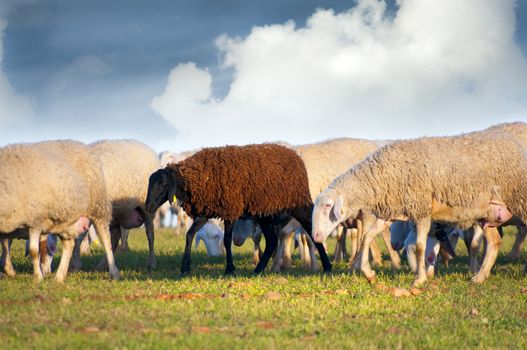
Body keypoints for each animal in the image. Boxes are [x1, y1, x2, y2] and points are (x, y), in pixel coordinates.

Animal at [0, 139, 119, 282]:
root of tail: (81, 145)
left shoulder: (35, 220)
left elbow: (34, 251)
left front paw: (38, 277)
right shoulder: (8, 225)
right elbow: (5, 246)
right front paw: (9, 270)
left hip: (97, 208)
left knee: (106, 239)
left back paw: (114, 273)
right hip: (66, 220)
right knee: (69, 244)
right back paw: (59, 277)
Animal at [146, 144, 332, 274]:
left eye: (162, 184)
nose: (148, 206)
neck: (197, 177)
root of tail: (295, 156)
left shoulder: (230, 209)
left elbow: (227, 240)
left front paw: (229, 269)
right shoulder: (206, 212)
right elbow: (190, 235)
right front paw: (185, 267)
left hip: (299, 205)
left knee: (311, 231)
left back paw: (327, 266)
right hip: (265, 213)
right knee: (272, 240)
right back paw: (258, 270)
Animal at [314, 132, 527, 288]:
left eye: (327, 206)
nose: (316, 236)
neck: (381, 176)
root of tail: (514, 143)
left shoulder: (422, 210)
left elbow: (419, 247)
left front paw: (419, 280)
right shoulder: (392, 212)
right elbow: (367, 237)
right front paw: (369, 274)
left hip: (520, 200)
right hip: (488, 213)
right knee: (495, 242)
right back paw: (480, 277)